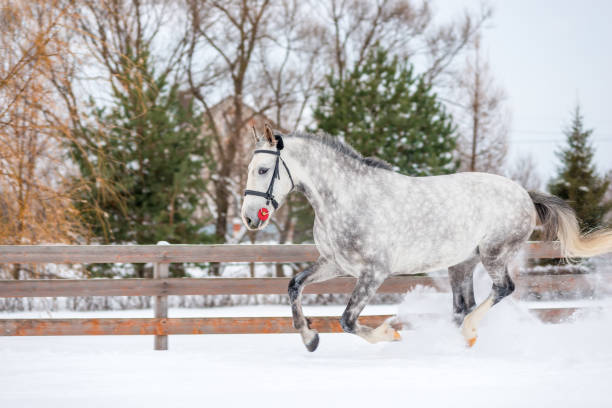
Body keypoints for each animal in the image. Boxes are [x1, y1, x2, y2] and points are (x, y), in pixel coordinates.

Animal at [240, 123, 612, 350]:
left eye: (263, 170)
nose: (248, 218)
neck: (347, 198)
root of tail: (524, 193)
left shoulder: (374, 272)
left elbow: (348, 320)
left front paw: (391, 334)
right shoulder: (335, 264)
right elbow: (294, 286)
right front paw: (310, 338)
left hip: (493, 253)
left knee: (502, 290)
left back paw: (469, 332)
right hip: (462, 263)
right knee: (463, 305)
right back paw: (461, 340)